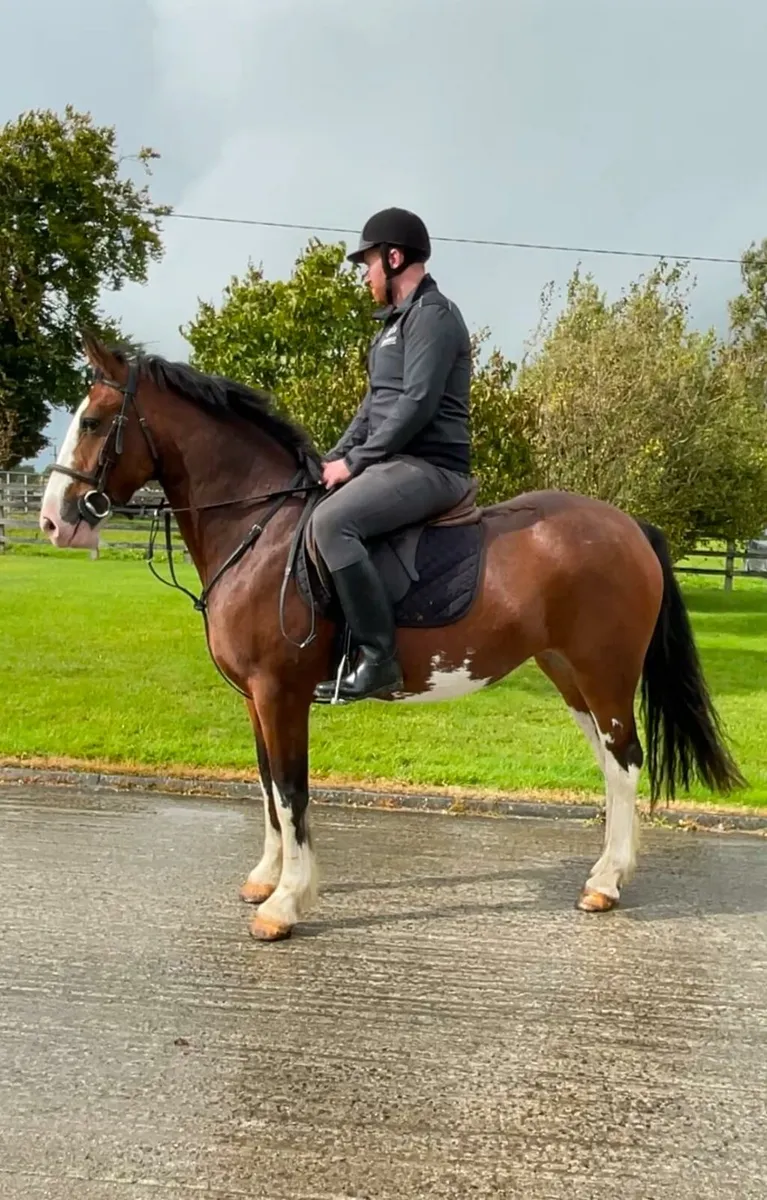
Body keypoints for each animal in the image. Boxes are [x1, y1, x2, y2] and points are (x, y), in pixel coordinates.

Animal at [39, 335, 744, 940]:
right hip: (569, 672)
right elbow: (267, 784)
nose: (53, 520)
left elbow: (291, 789)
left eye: (95, 422)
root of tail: (629, 526)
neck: (260, 528)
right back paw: (606, 872)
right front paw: (266, 879)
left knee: (625, 760)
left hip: (603, 670)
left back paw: (606, 883)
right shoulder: (255, 700)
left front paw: (285, 904)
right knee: (609, 760)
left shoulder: (279, 693)